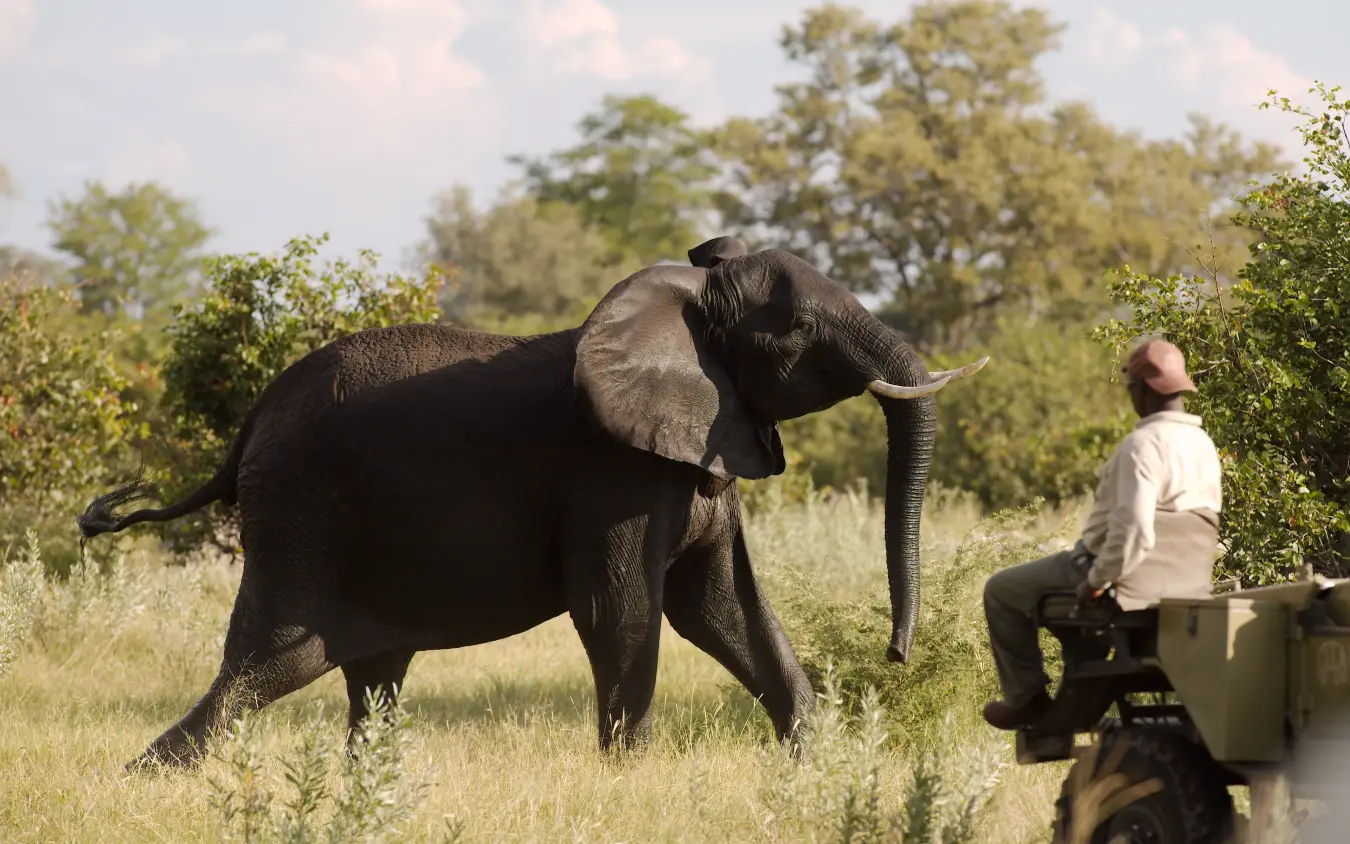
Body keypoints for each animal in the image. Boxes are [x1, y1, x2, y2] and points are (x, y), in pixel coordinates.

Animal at [77, 236, 987, 770]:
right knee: (270, 663)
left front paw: (821, 764)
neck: (683, 302)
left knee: (371, 676)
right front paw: (630, 780)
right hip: (303, 512)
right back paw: (149, 780)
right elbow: (624, 608)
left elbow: (724, 607)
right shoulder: (610, 471)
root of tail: (250, 422)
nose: (896, 654)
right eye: (796, 332)